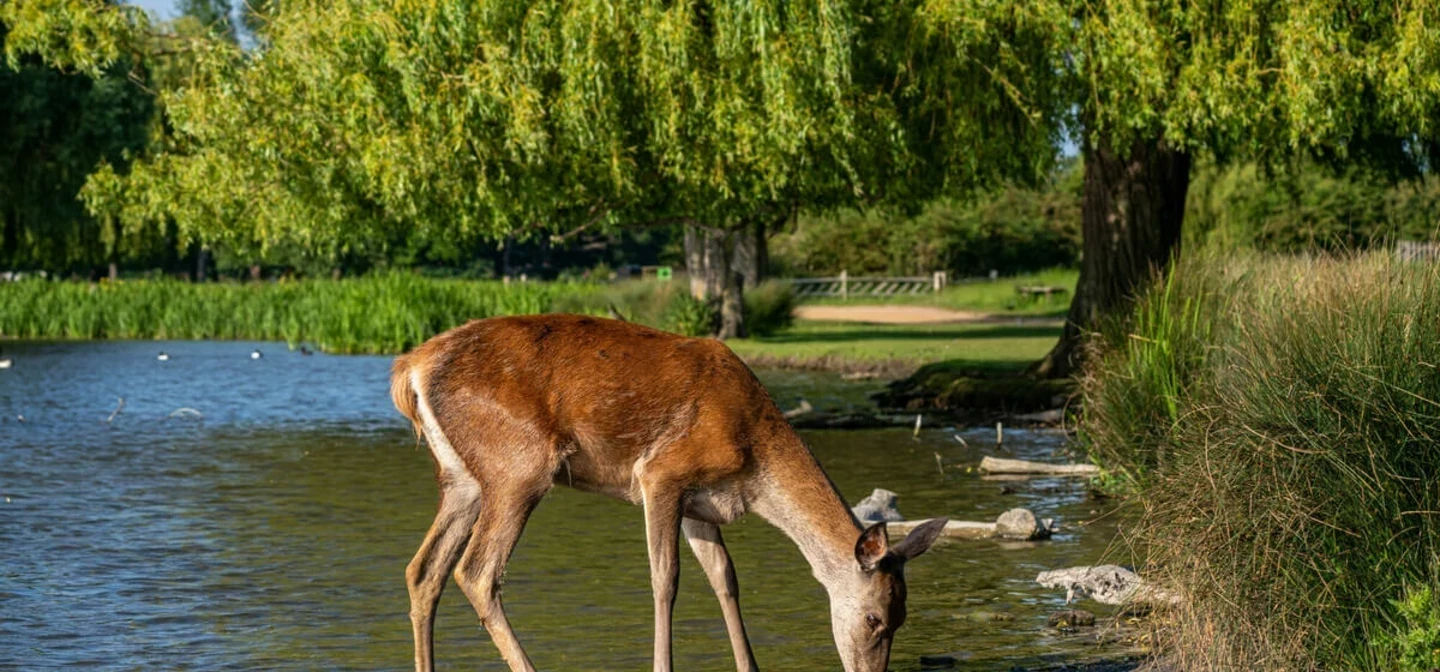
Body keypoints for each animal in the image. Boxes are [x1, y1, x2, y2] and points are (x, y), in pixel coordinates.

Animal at [394, 315, 950, 672]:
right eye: (875, 617)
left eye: (902, 618)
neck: (754, 463)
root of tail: (409, 369)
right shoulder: (661, 473)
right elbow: (666, 579)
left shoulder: (702, 503)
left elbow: (725, 578)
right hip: (519, 465)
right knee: (476, 571)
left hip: (463, 479)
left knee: (424, 569)